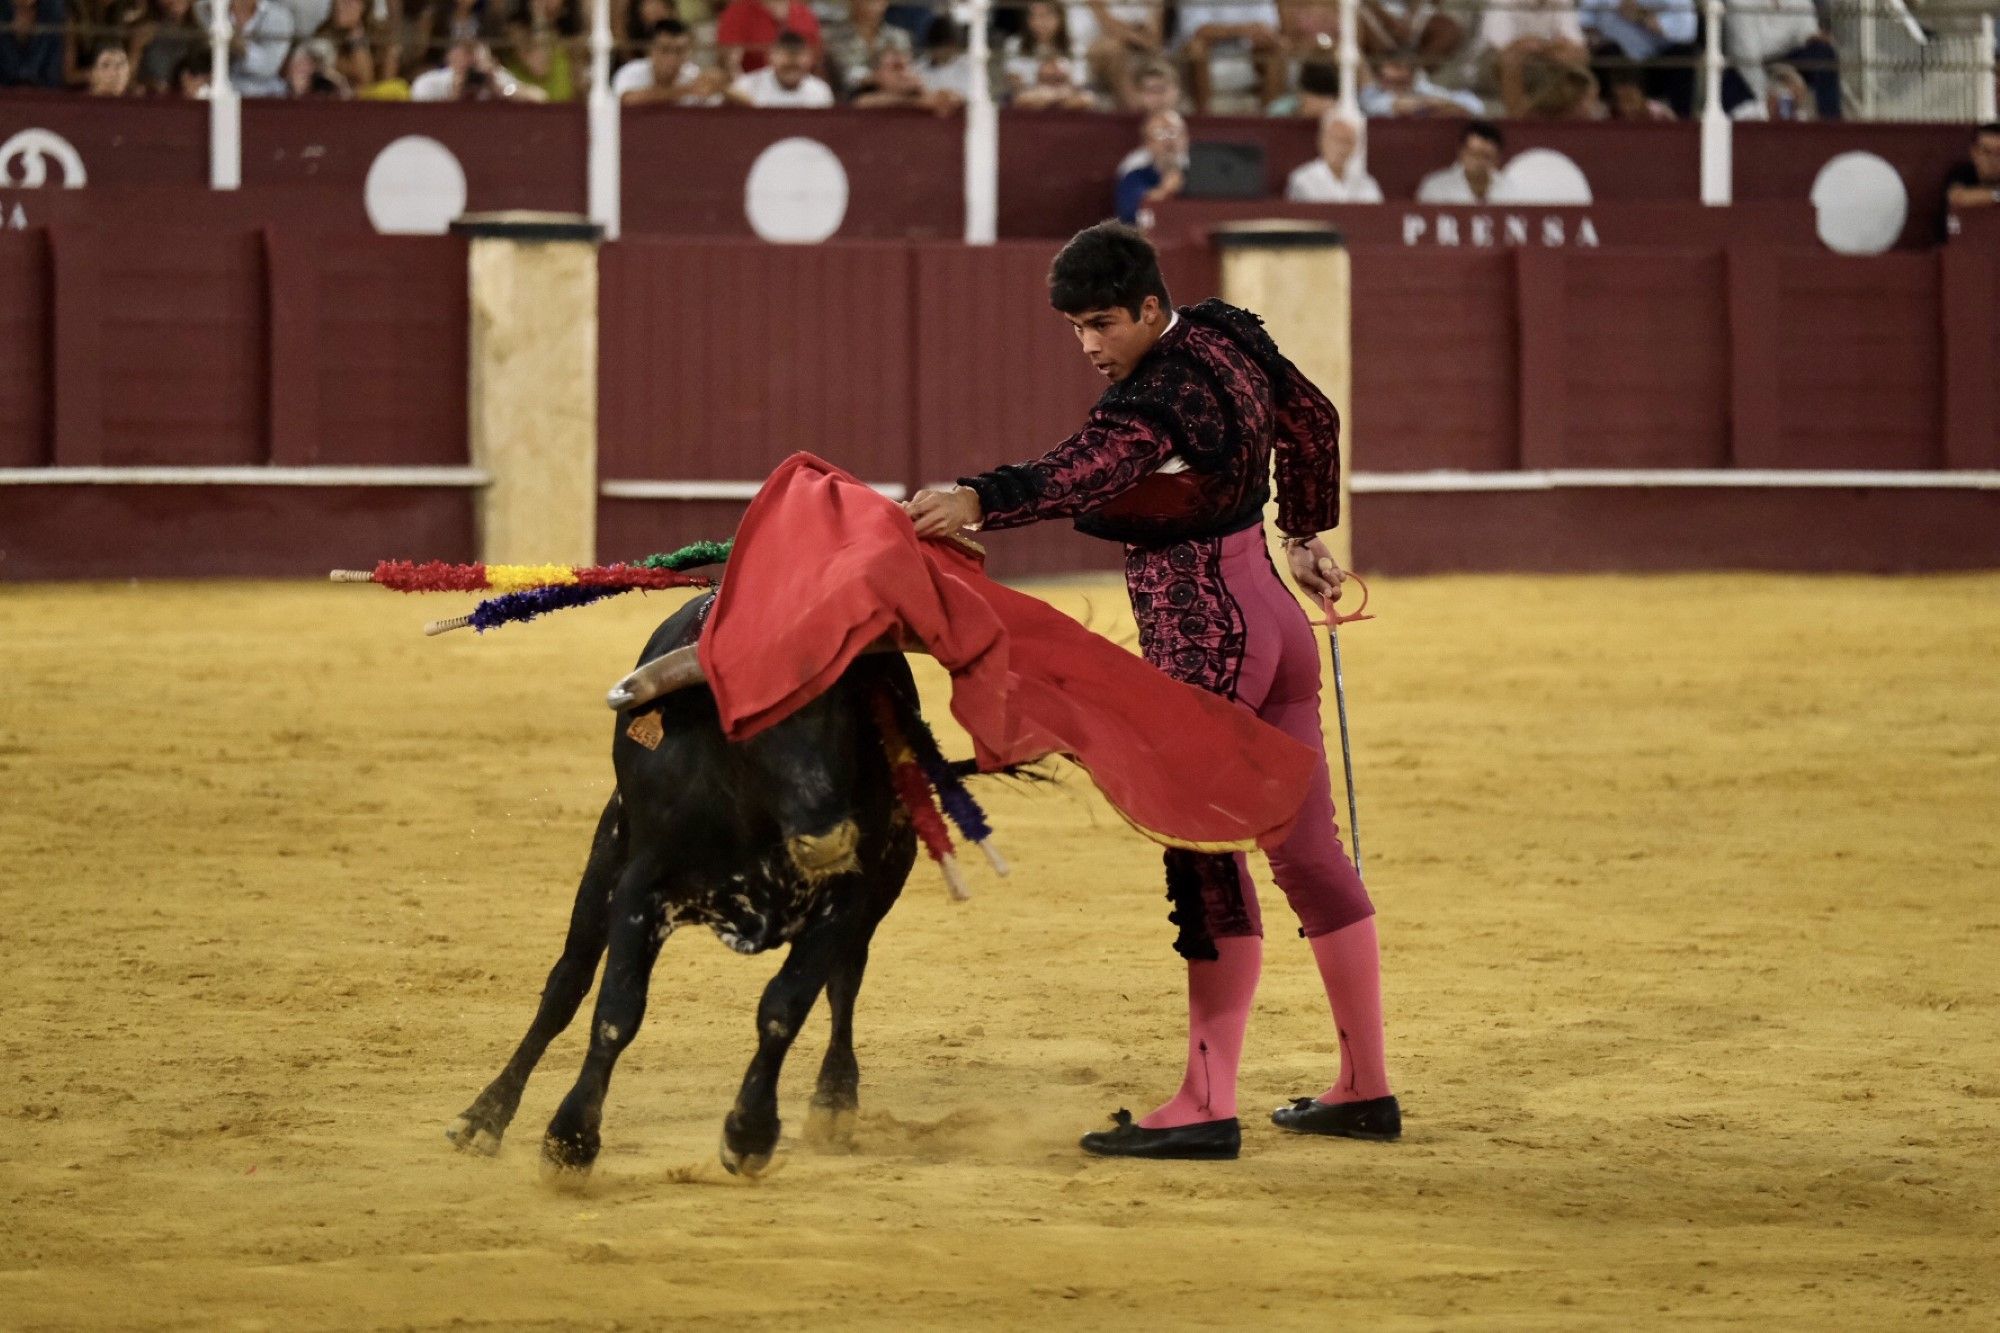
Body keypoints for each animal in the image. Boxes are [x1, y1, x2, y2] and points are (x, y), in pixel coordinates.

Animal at [446, 592, 920, 1176]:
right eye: (752, 720)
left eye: (849, 714)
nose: (829, 839)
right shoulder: (639, 889)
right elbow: (616, 1010)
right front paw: (570, 1140)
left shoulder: (848, 898)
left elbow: (785, 1007)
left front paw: (750, 1132)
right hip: (605, 858)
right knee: (566, 983)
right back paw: (484, 1117)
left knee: (845, 982)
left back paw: (834, 1101)